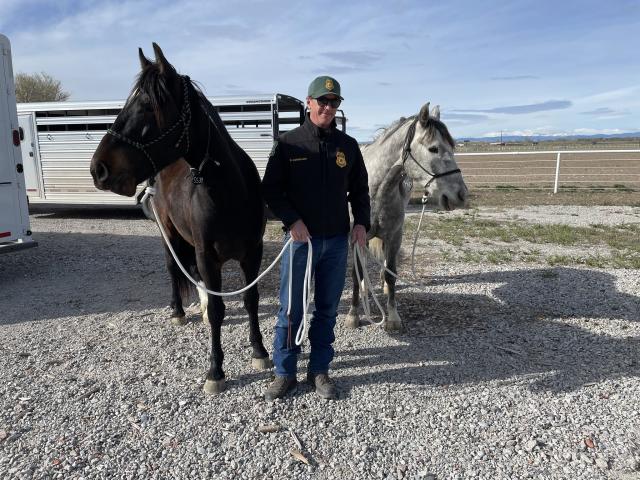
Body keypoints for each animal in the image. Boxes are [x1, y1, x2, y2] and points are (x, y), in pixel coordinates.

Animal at [90, 44, 271, 394]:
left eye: (147, 106)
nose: (98, 169)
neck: (230, 192)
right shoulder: (206, 255)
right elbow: (218, 309)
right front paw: (215, 371)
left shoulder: (251, 254)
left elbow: (251, 300)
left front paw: (259, 352)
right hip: (170, 235)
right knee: (174, 269)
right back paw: (178, 311)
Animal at [346, 102, 468, 332]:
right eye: (433, 148)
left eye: (453, 147)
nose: (461, 195)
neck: (375, 190)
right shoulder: (355, 237)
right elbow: (357, 274)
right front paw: (353, 315)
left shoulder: (394, 236)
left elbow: (390, 273)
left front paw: (393, 317)